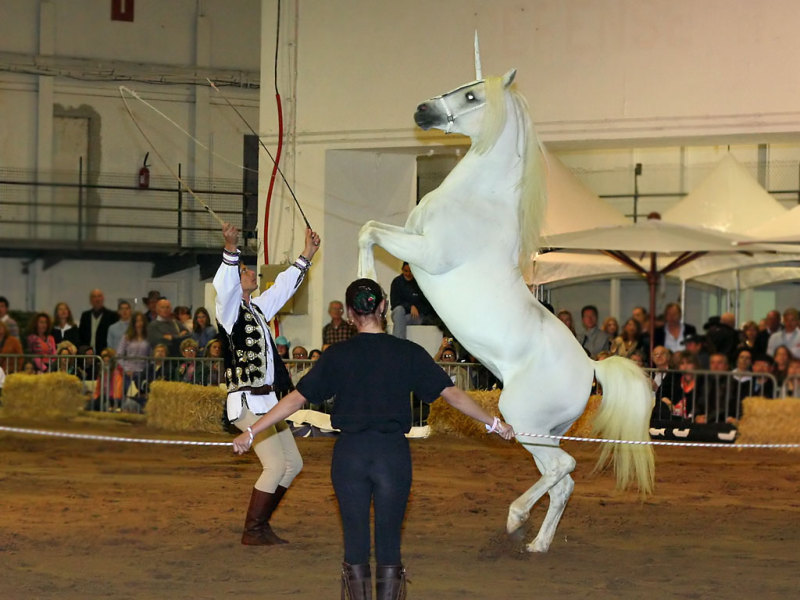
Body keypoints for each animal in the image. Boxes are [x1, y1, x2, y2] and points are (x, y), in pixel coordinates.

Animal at [358, 69, 656, 552]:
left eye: (471, 96)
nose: (422, 110)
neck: (477, 201)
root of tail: (591, 367)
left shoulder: (426, 253)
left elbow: (367, 232)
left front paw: (367, 288)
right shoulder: (409, 235)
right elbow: (370, 227)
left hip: (522, 418)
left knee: (564, 469)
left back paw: (517, 518)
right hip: (539, 433)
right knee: (563, 481)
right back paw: (538, 544)